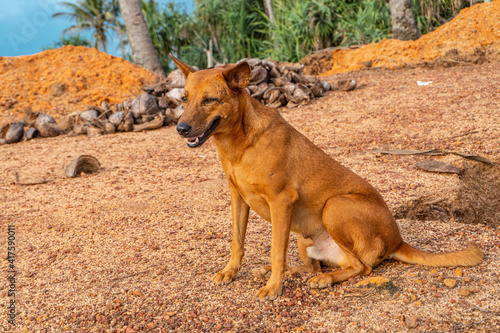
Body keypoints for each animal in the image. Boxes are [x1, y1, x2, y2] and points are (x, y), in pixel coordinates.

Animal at [170, 54, 482, 300]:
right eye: (184, 99)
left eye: (210, 100)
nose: (180, 129)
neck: (240, 144)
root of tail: (398, 240)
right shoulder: (238, 199)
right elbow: (237, 242)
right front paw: (231, 272)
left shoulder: (281, 202)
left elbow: (276, 251)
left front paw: (273, 288)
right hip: (302, 236)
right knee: (315, 265)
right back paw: (291, 272)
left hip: (335, 206)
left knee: (361, 267)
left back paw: (323, 279)